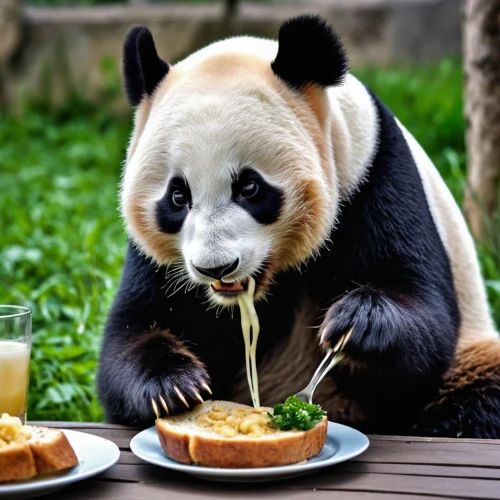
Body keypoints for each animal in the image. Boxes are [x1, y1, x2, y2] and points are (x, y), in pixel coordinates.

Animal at [96, 14, 500, 438]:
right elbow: (134, 325)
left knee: (477, 398)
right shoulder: (158, 260)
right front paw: (173, 387)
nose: (216, 268)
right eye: (177, 195)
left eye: (249, 187)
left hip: (472, 350)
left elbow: (424, 317)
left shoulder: (373, 174)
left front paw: (355, 323)